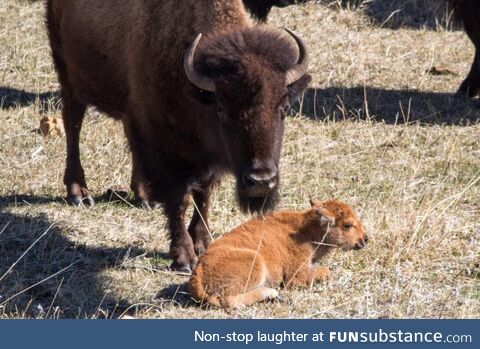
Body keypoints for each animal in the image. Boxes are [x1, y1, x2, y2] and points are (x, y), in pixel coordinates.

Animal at [46, 0, 312, 270]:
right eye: (221, 109)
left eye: (284, 107)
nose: (261, 181)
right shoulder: (168, 150)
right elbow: (180, 199)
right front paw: (183, 257)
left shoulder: (206, 157)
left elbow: (204, 195)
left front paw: (203, 243)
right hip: (68, 75)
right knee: (73, 123)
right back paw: (79, 192)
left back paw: (143, 197)